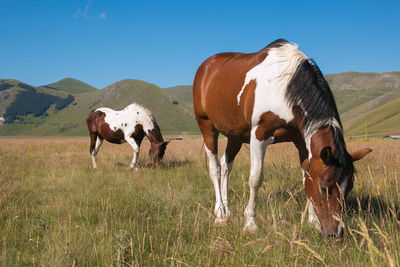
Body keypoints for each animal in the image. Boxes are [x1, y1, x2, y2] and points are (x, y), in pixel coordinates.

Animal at [194, 38, 372, 238]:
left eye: (349, 187)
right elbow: (255, 179)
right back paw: (220, 215)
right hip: (207, 127)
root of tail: (207, 66)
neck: (283, 87)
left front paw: (312, 221)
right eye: (324, 187)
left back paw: (227, 210)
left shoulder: (302, 141)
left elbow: (306, 176)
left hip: (235, 135)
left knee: (226, 167)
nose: (335, 234)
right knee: (215, 169)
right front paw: (250, 223)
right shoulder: (259, 136)